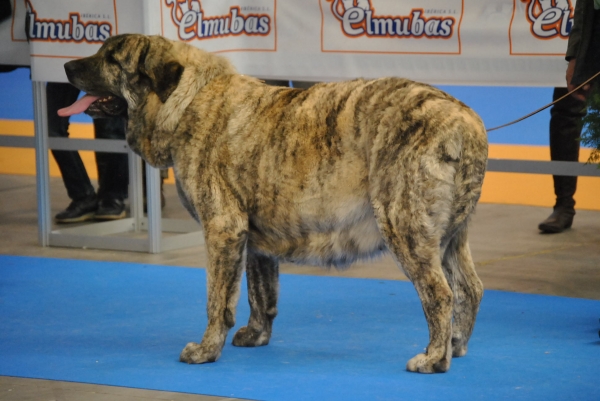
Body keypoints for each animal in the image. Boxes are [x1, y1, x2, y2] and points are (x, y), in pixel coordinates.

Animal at [62, 33, 488, 372]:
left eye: (113, 59)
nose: (66, 65)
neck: (187, 100)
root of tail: (466, 122)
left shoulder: (223, 228)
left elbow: (217, 299)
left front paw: (206, 350)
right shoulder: (253, 239)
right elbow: (259, 292)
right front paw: (256, 334)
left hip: (405, 225)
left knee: (440, 294)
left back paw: (434, 358)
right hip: (450, 236)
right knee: (470, 288)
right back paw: (456, 346)